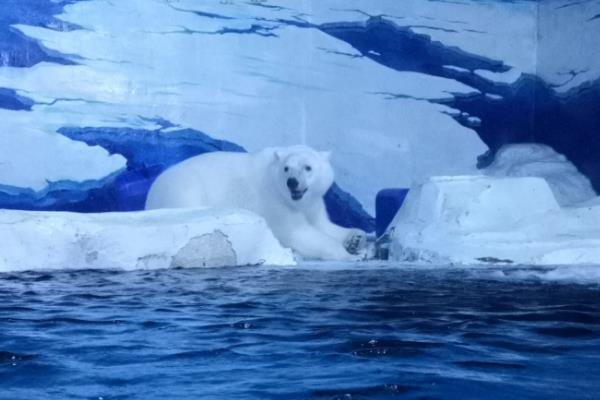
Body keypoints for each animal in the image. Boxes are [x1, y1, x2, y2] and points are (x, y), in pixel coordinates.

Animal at [148, 145, 368, 260]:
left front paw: (356, 239)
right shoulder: (275, 202)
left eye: (308, 167)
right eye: (286, 168)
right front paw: (350, 255)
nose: (292, 182)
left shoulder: (312, 203)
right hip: (185, 188)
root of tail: (151, 194)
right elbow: (298, 232)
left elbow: (323, 224)